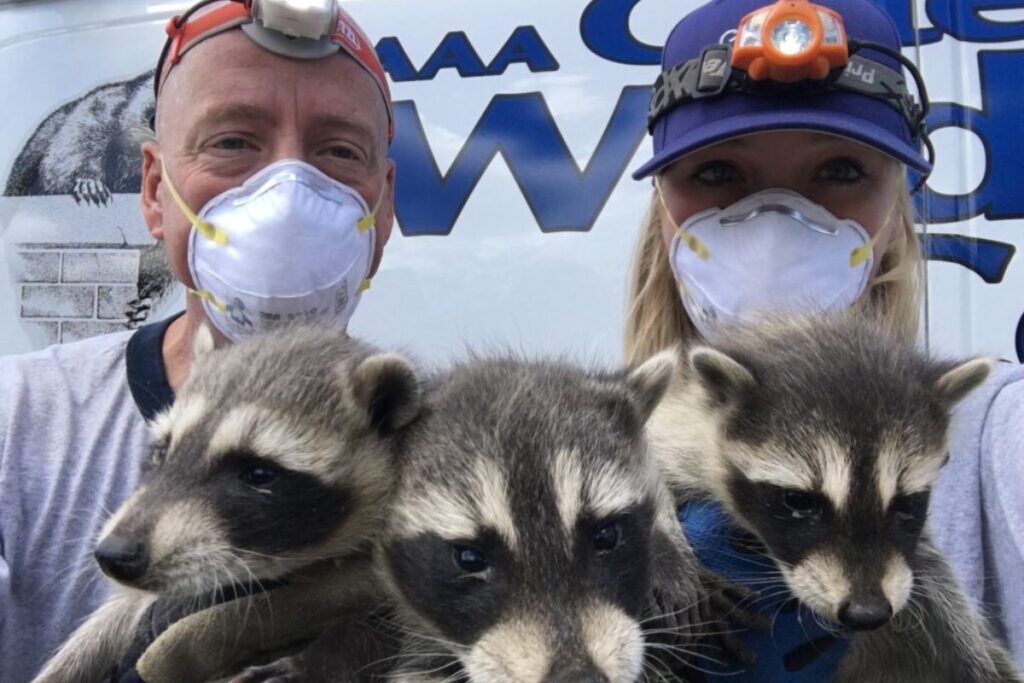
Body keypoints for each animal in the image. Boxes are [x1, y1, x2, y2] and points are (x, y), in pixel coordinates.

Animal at [647, 317, 1024, 683]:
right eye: (798, 500)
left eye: (905, 503)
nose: (868, 613)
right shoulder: (679, 431)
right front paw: (665, 545)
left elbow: (941, 587)